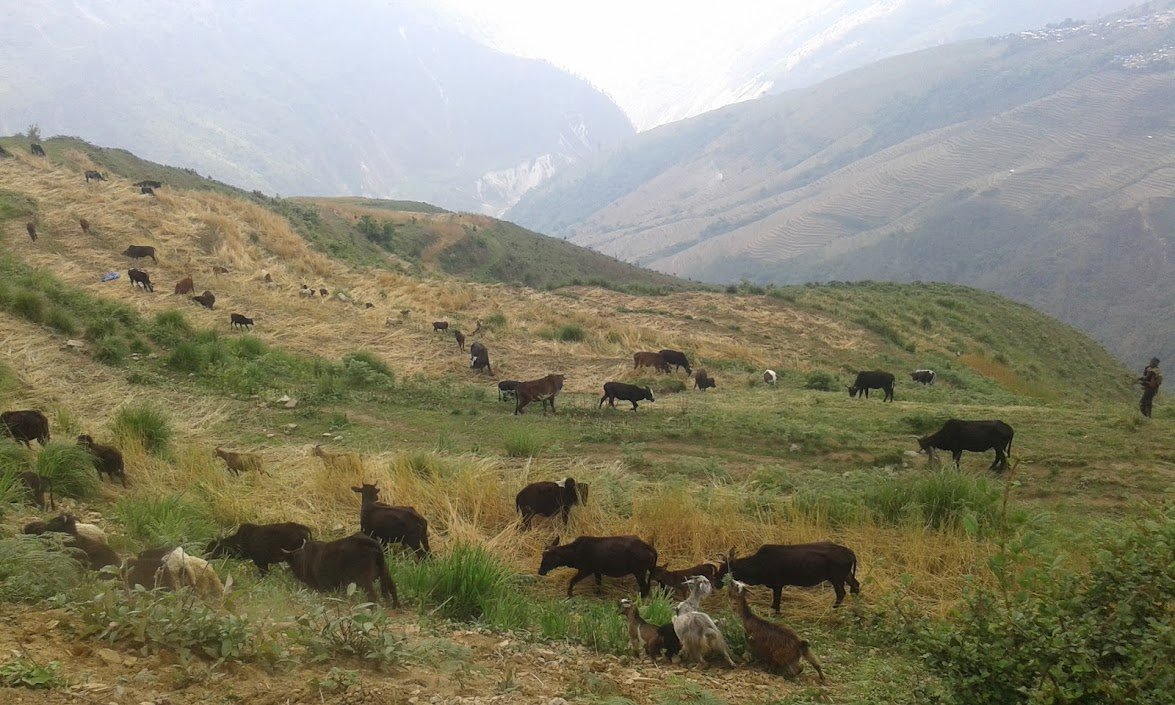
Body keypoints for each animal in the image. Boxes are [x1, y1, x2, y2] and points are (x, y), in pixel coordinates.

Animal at [720, 542, 860, 611]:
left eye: (725, 569)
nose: (717, 582)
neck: (758, 563)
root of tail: (851, 553)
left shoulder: (777, 585)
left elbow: (776, 604)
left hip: (836, 578)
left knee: (841, 593)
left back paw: (834, 609)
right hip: (846, 575)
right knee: (856, 586)